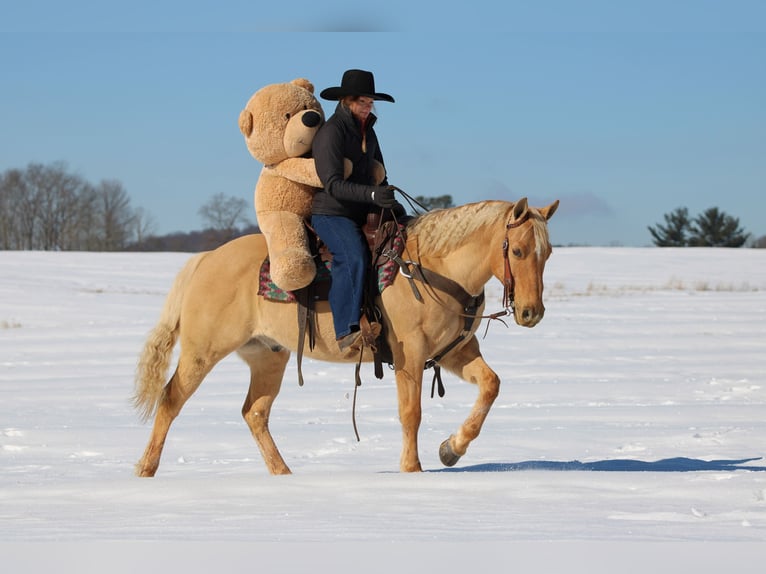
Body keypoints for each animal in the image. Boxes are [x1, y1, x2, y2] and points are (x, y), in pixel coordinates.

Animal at [133, 197, 559, 476]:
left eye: (548, 252)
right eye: (518, 251)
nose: (531, 312)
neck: (435, 268)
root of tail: (204, 259)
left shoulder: (455, 352)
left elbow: (491, 385)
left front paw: (450, 450)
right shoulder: (410, 354)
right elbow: (411, 412)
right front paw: (412, 469)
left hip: (269, 355)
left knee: (255, 413)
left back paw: (284, 474)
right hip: (203, 351)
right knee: (170, 401)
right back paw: (146, 471)